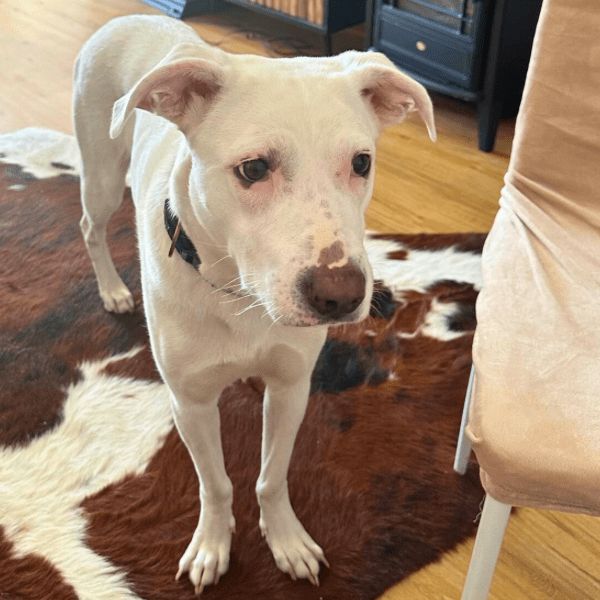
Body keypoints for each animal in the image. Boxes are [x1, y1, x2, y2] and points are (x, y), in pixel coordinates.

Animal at [73, 14, 435, 593]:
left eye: (362, 163)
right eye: (252, 169)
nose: (342, 296)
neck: (240, 297)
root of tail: (127, 17)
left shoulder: (291, 388)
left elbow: (272, 475)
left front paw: (286, 539)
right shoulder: (191, 403)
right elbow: (217, 483)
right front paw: (212, 546)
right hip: (102, 171)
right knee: (91, 225)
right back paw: (112, 288)